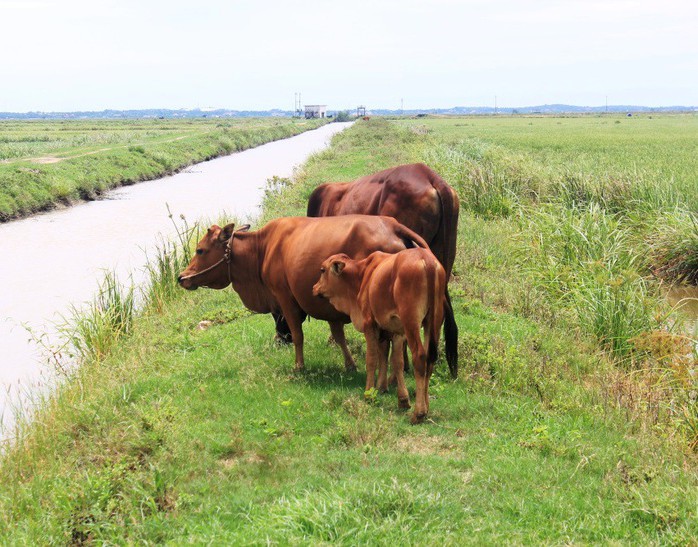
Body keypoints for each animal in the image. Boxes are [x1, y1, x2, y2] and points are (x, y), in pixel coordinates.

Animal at [177, 214, 426, 372]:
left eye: (200, 250)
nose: (181, 277)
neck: (262, 248)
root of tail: (392, 224)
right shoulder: (328, 307)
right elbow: (338, 336)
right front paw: (350, 365)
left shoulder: (285, 300)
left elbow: (297, 335)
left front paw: (299, 366)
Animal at [312, 248, 446, 424]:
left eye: (322, 270)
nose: (314, 287)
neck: (362, 275)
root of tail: (426, 258)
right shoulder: (397, 330)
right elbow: (396, 362)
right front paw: (401, 399)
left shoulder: (370, 324)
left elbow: (372, 360)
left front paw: (369, 394)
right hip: (433, 322)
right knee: (430, 360)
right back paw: (426, 407)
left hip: (412, 321)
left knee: (420, 357)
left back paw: (419, 413)